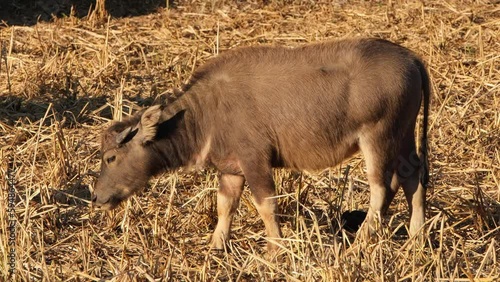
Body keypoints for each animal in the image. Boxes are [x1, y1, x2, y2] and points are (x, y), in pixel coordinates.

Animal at [93, 38, 430, 251]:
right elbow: (225, 206)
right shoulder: (231, 170)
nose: (96, 197)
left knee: (381, 188)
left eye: (110, 157)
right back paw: (416, 236)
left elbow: (266, 205)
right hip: (403, 135)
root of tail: (411, 59)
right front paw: (217, 245)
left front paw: (275, 249)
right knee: (412, 176)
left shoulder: (255, 160)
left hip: (378, 136)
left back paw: (359, 243)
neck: (205, 112)